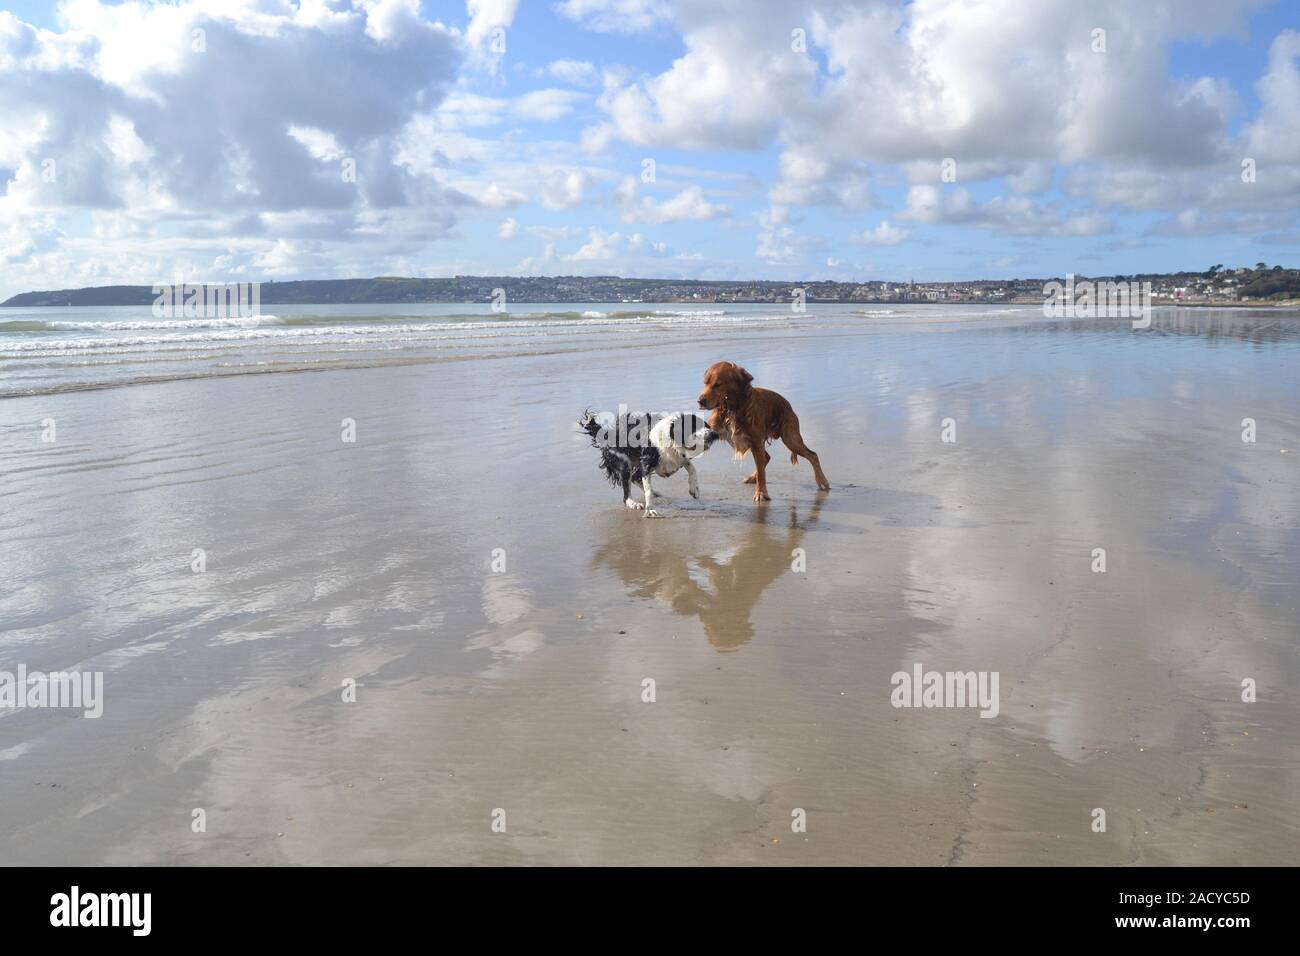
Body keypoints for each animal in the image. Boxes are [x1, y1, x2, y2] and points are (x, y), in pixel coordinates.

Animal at [582, 408, 722, 515]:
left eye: (705, 425)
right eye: (693, 427)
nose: (714, 434)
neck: (669, 437)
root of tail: (607, 434)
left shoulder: (678, 457)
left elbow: (692, 468)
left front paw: (695, 489)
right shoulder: (646, 462)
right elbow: (647, 489)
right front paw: (649, 510)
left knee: (635, 478)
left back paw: (655, 493)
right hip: (625, 462)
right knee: (627, 490)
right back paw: (633, 503)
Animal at [702, 361, 832, 504]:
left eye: (718, 384)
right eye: (705, 383)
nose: (700, 400)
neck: (732, 408)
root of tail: (788, 405)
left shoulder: (756, 442)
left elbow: (761, 474)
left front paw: (761, 493)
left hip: (791, 438)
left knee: (812, 455)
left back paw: (822, 481)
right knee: (766, 458)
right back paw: (753, 477)